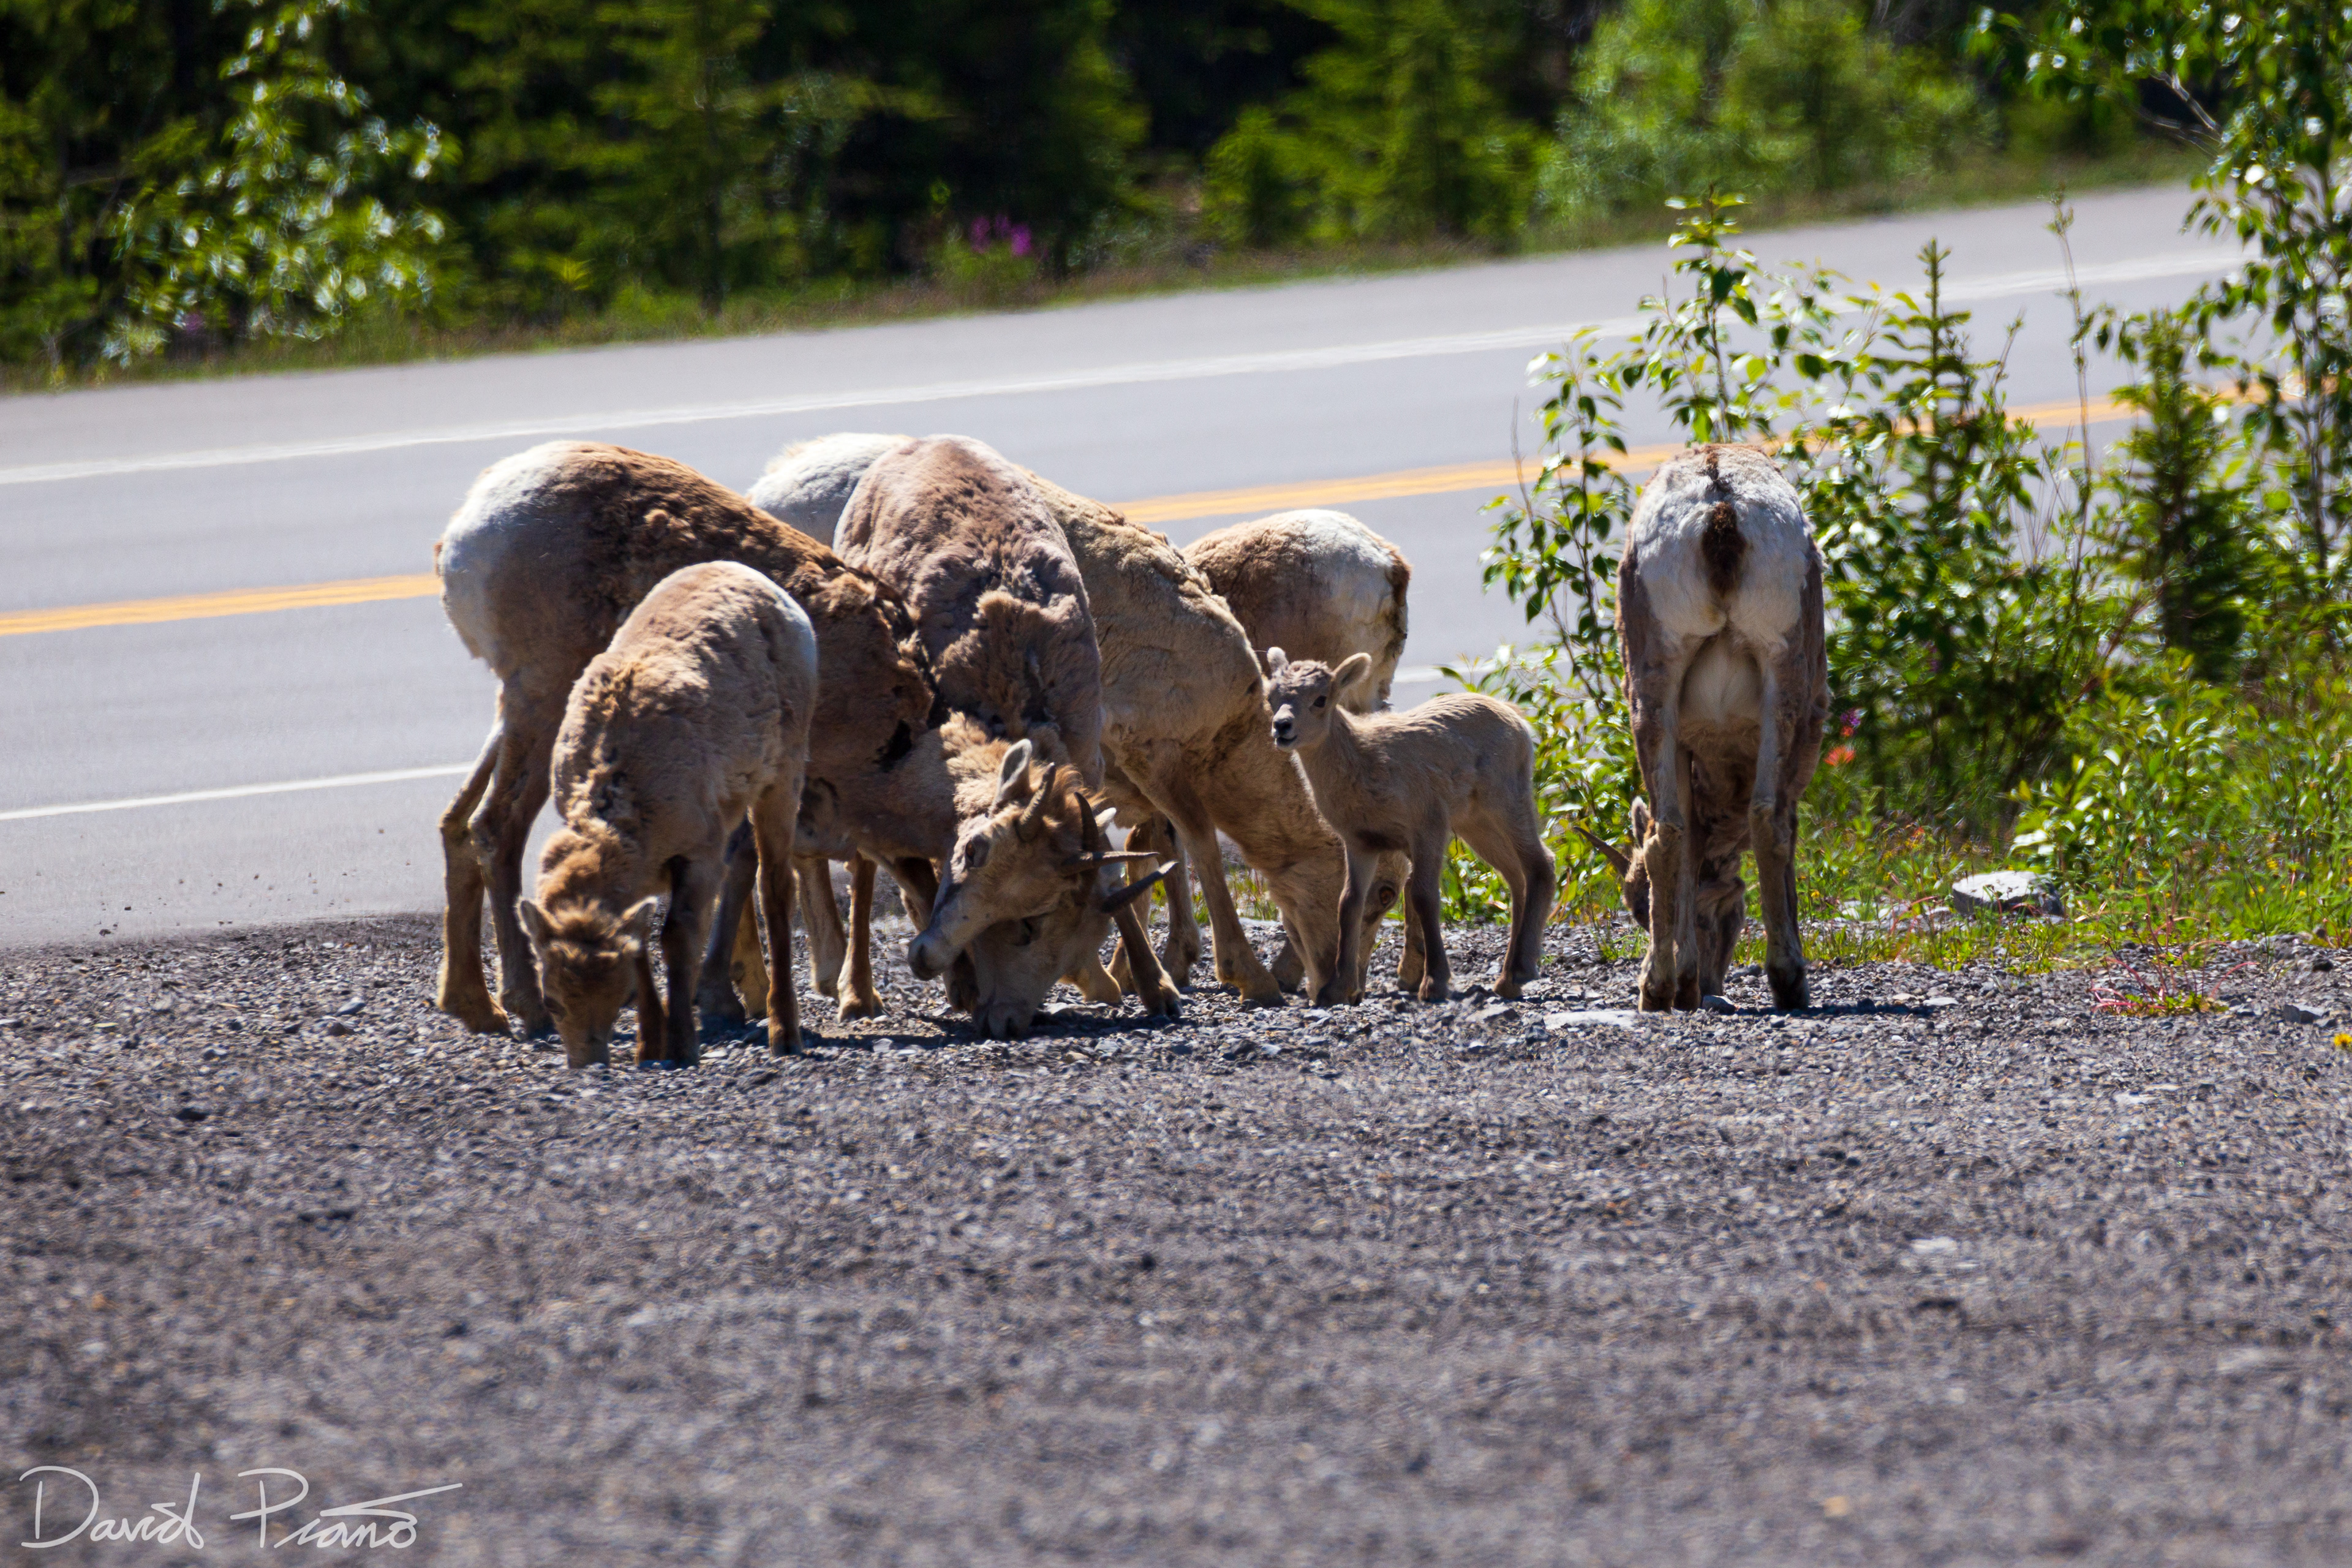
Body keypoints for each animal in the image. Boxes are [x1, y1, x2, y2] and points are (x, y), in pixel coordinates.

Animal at [519, 562, 815, 1067]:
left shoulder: (698, 855)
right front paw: (647, 1048)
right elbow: (642, 941)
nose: (589, 1063)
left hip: (783, 774)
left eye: (618, 999)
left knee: (776, 886)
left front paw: (682, 1047)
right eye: (552, 1001)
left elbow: (677, 937)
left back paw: (786, 1035)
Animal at [1263, 649, 1555, 1003]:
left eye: (1321, 699)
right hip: (1476, 824)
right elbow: (1349, 903)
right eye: (1271, 697)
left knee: (1541, 863)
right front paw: (1337, 990)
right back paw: (1507, 981)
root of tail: (1517, 720)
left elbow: (1424, 897)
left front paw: (1434, 985)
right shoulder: (1361, 843)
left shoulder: (1427, 827)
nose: (1282, 727)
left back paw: (1523, 969)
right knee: (1516, 877)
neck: (1365, 763)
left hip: (1507, 801)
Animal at [1614, 443, 1827, 1012]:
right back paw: (1786, 982)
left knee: (1672, 831)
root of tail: (1719, 507)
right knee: (1767, 820)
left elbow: (1688, 847)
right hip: (1785, 677)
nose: (1710, 983)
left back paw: (1658, 989)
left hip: (1656, 682)